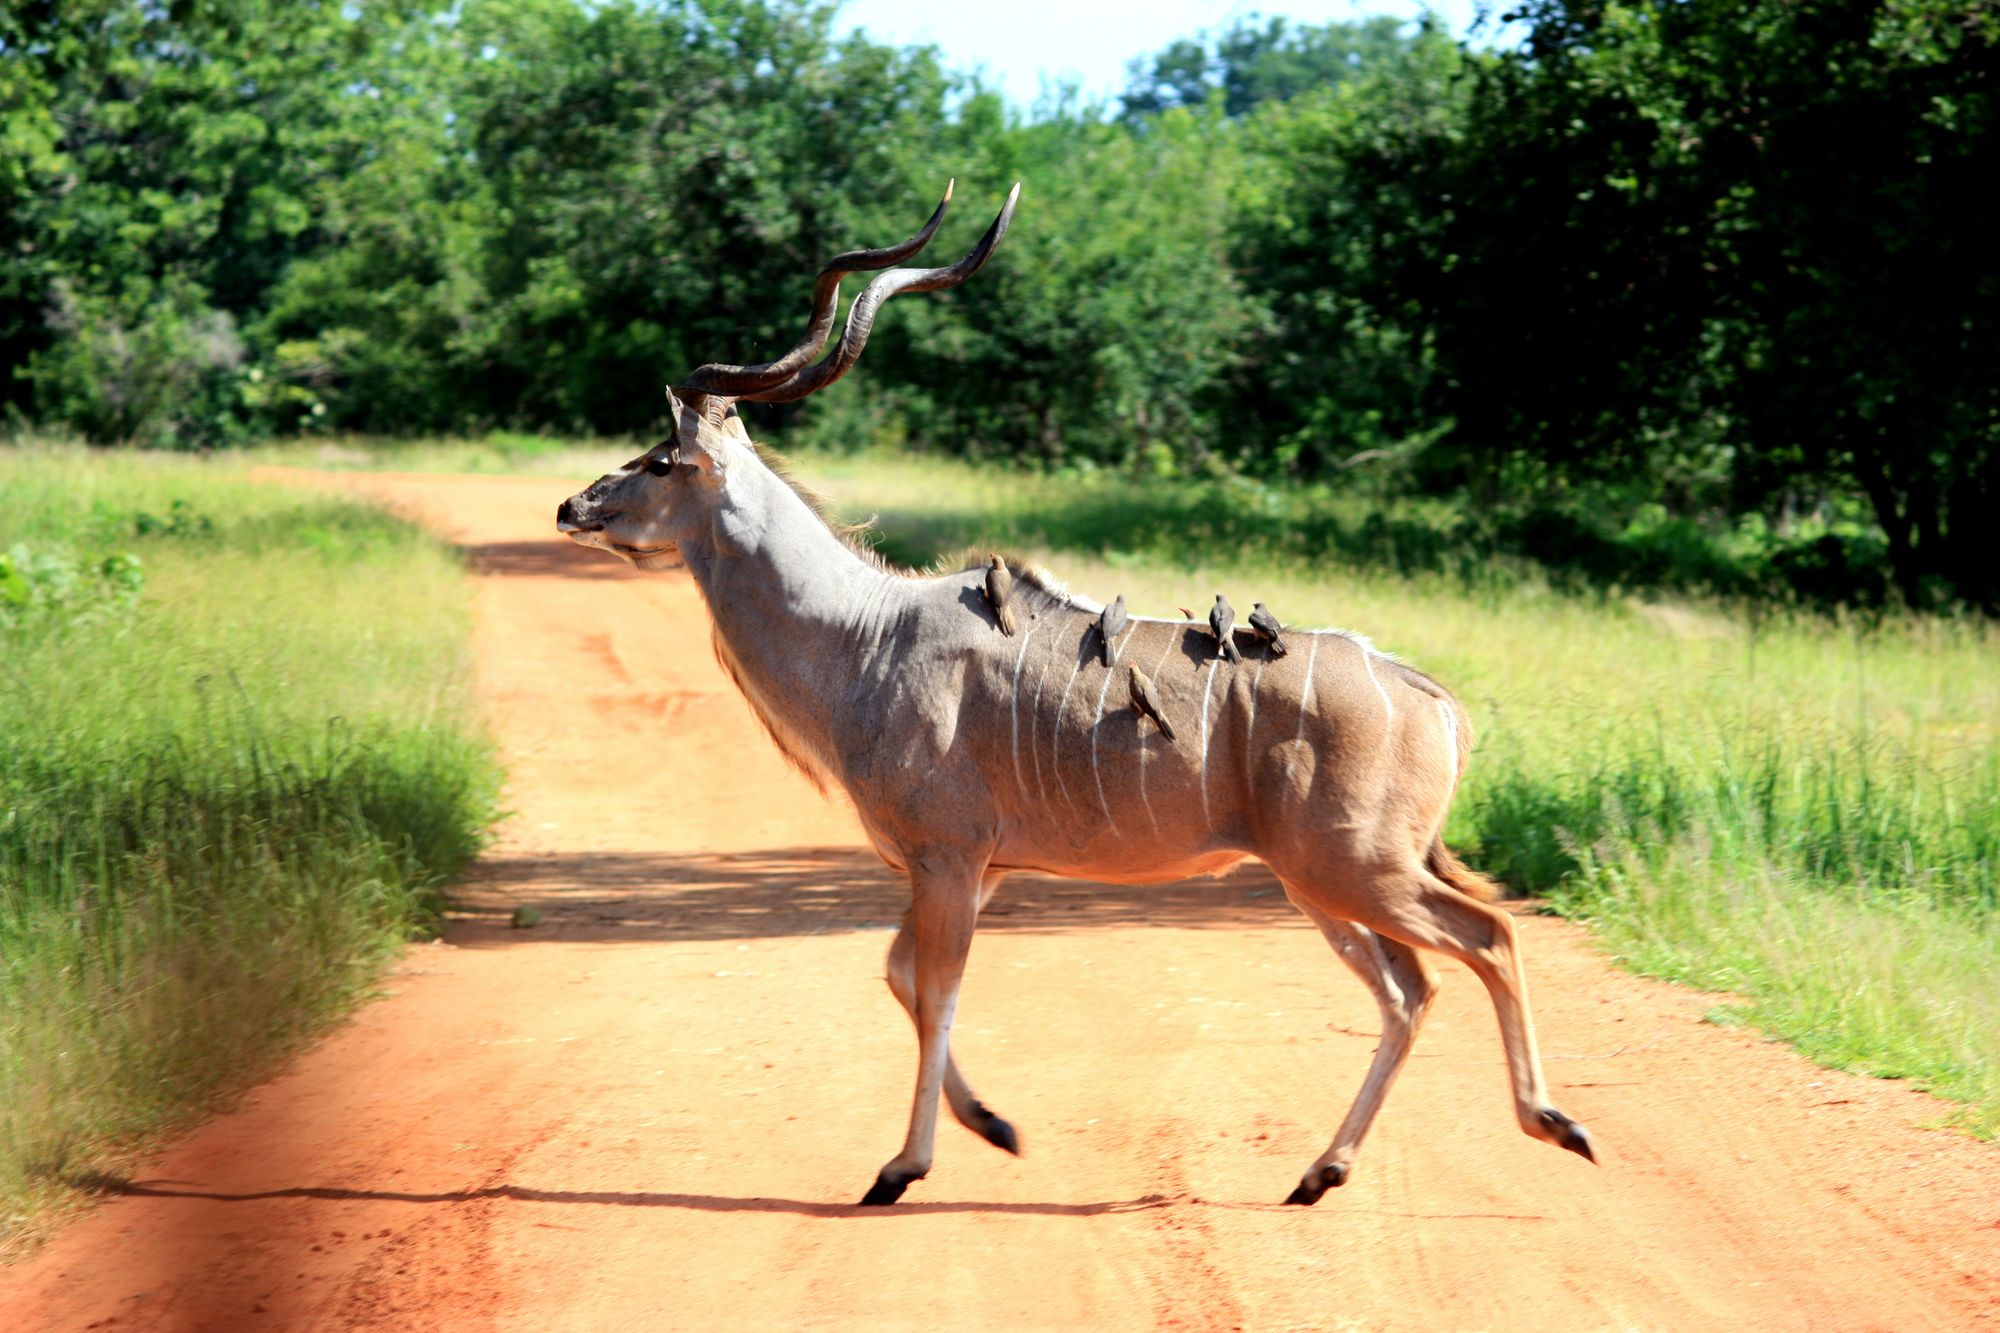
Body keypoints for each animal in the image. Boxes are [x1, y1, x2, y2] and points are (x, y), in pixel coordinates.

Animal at [556, 183, 1597, 1206]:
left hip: (1356, 867)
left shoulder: (947, 857)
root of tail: (1436, 700)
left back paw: (1555, 1122)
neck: (867, 633)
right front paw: (995, 1124)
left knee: (1487, 934)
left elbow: (934, 991)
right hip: (1319, 881)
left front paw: (903, 1166)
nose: (572, 505)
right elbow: (901, 975)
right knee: (1410, 987)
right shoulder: (970, 867)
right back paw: (1320, 1171)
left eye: (659, 460)